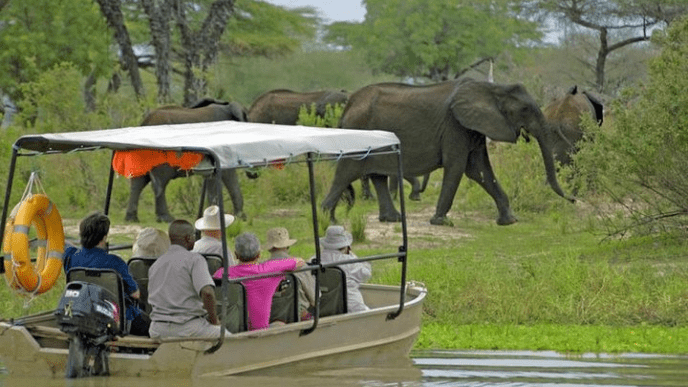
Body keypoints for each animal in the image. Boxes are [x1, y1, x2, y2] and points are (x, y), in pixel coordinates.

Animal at [322, 77, 576, 226]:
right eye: (524, 109)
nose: (574, 199)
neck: (492, 88)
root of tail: (348, 106)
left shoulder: (472, 127)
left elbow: (479, 169)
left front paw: (509, 221)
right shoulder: (456, 125)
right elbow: (458, 167)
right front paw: (440, 222)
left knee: (377, 176)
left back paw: (391, 219)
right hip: (357, 133)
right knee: (346, 172)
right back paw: (329, 220)